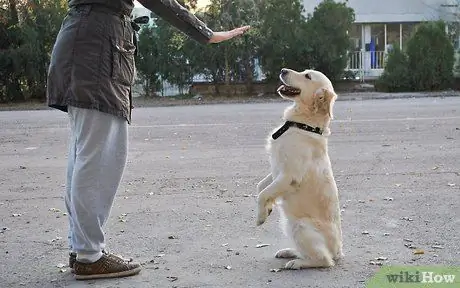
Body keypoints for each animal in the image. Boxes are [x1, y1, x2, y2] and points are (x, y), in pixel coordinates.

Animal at [256, 67, 344, 270]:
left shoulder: (289, 175)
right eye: (305, 71)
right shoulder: (276, 168)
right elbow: (261, 187)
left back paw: (296, 263)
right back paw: (289, 252)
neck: (303, 125)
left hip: (300, 226)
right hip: (288, 225)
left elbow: (262, 194)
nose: (282, 70)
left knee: (323, 260)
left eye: (307, 76)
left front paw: (261, 216)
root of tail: (338, 252)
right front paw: (268, 208)